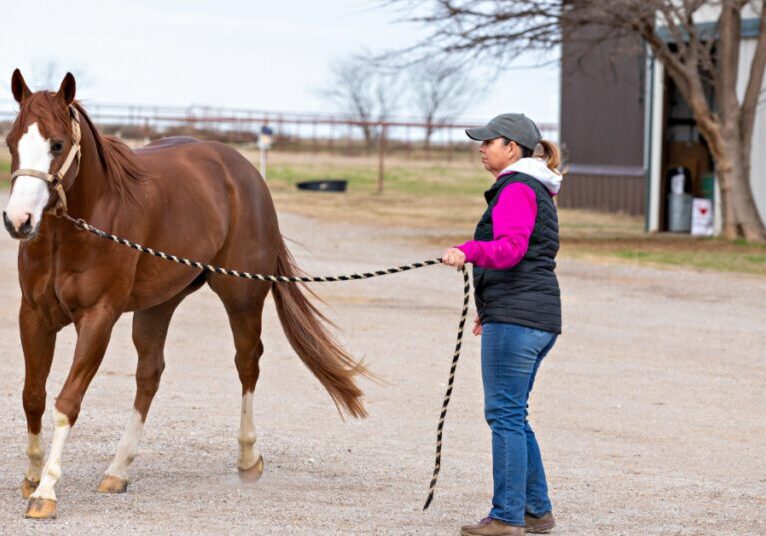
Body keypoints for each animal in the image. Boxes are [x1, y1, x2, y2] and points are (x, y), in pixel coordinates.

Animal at [3, 69, 369, 519]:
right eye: (11, 141)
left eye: (56, 144)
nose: (18, 220)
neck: (74, 230)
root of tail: (243, 171)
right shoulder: (34, 315)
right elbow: (33, 397)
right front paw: (32, 476)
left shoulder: (98, 319)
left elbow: (66, 402)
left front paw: (46, 491)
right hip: (159, 305)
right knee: (150, 374)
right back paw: (118, 471)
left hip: (242, 297)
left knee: (247, 364)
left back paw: (248, 459)